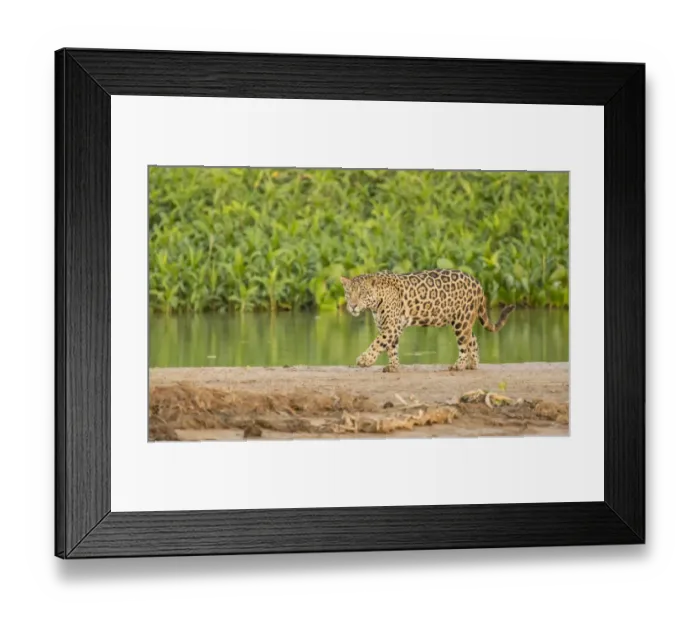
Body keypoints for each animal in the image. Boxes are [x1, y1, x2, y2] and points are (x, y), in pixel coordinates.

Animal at [340, 269, 515, 373]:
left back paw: (459, 365)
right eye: (348, 294)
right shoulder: (389, 327)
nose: (353, 306)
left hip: (461, 320)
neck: (376, 303)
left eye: (362, 294)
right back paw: (473, 364)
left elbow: (377, 343)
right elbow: (391, 347)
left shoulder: (391, 327)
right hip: (464, 321)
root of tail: (476, 281)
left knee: (464, 343)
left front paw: (365, 360)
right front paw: (393, 366)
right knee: (472, 338)